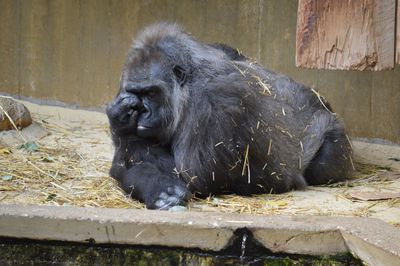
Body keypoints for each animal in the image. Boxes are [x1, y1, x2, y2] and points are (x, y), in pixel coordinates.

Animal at [107, 22, 354, 210]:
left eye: (151, 93)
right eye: (134, 92)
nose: (143, 112)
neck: (187, 87)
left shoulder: (215, 100)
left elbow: (195, 176)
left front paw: (121, 128)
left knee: (324, 164)